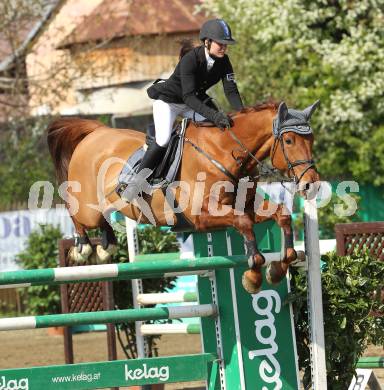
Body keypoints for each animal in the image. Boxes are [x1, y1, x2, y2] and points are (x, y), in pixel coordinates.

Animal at [46, 100, 320, 292]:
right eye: (289, 140)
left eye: (312, 140)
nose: (312, 185)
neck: (222, 153)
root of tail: (96, 132)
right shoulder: (202, 216)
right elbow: (243, 223)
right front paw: (253, 275)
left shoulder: (247, 206)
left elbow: (281, 215)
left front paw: (279, 267)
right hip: (86, 207)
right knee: (76, 212)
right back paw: (83, 247)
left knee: (102, 219)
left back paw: (107, 245)